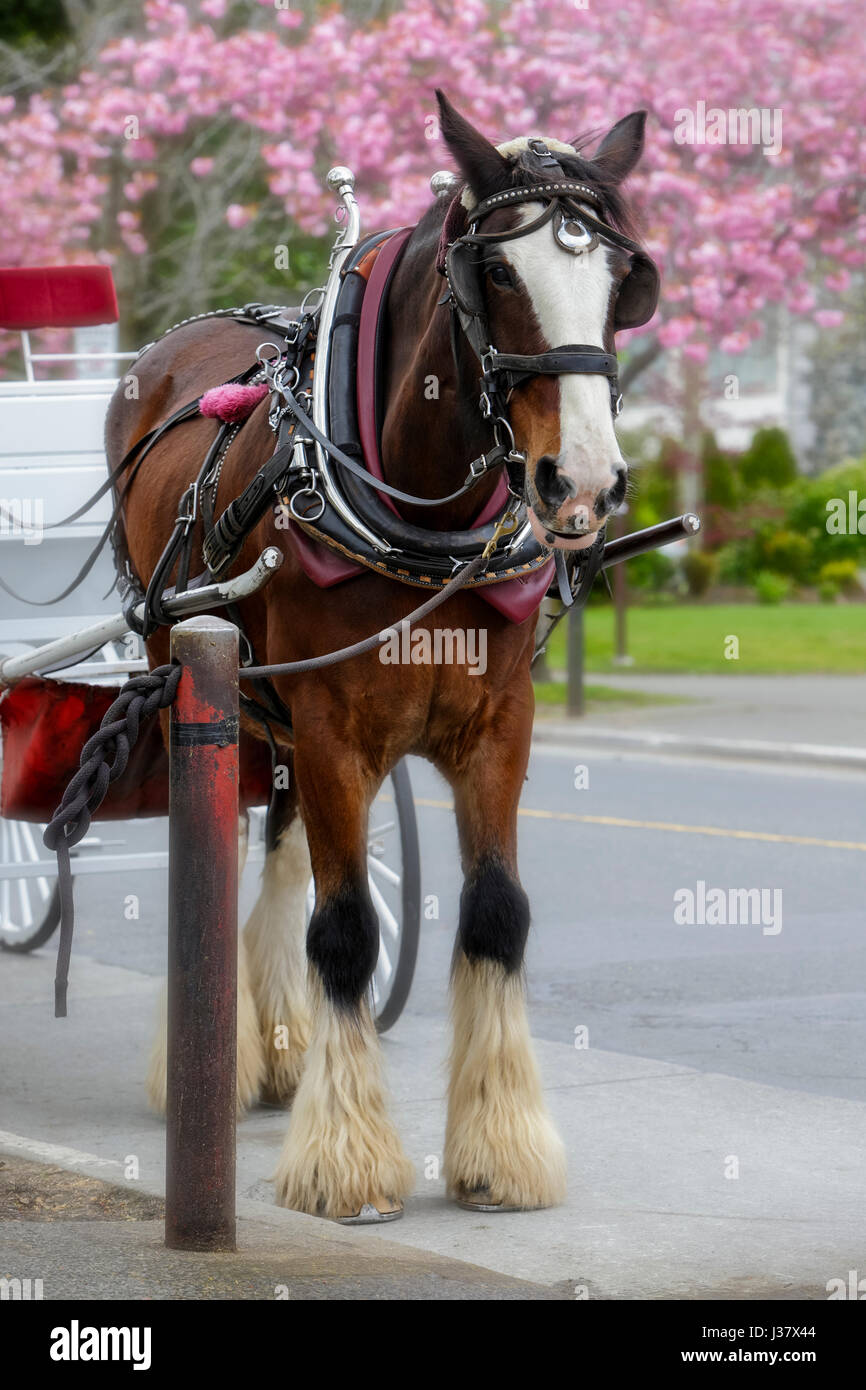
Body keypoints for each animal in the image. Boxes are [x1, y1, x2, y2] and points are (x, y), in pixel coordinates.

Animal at [109, 92, 656, 1223]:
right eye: (500, 275)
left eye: (620, 282)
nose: (581, 481)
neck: (421, 520)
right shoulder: (330, 730)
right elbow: (349, 928)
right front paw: (348, 1162)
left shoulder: (498, 727)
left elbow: (495, 914)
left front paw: (497, 1151)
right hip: (188, 660)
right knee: (223, 844)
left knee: (274, 843)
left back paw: (276, 1043)